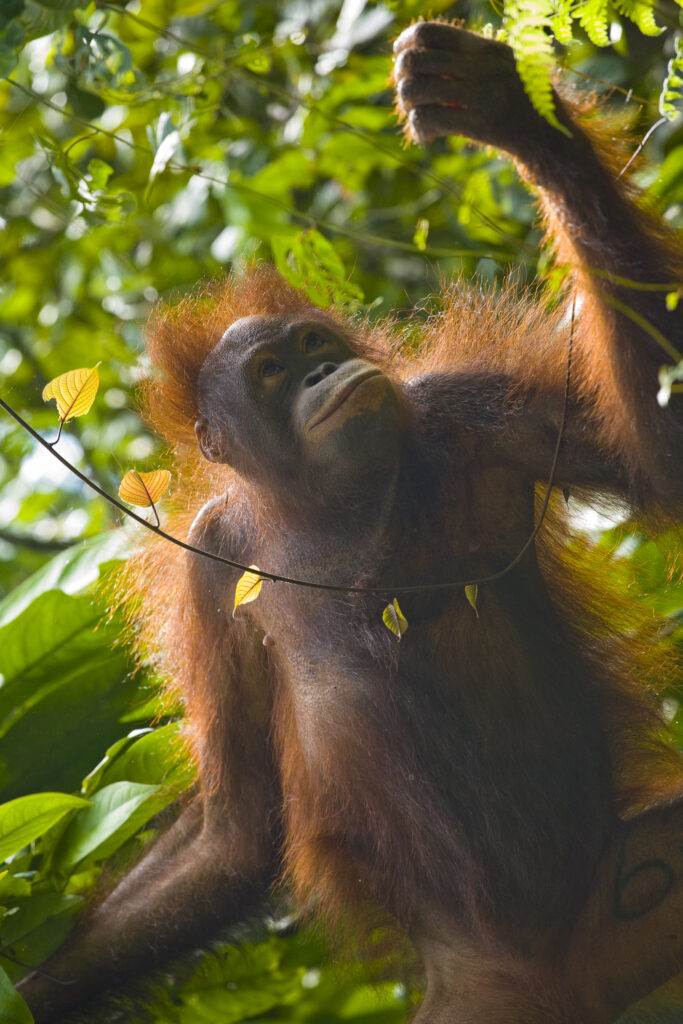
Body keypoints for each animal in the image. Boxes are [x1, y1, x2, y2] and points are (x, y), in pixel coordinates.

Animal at [17, 21, 683, 1024]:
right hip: (474, 997)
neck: (327, 511)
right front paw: (33, 986)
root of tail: (552, 980)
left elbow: (664, 463)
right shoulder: (209, 560)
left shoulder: (472, 410)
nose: (323, 375)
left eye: (312, 346)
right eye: (270, 375)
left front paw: (516, 117)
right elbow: (236, 829)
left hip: (622, 905)